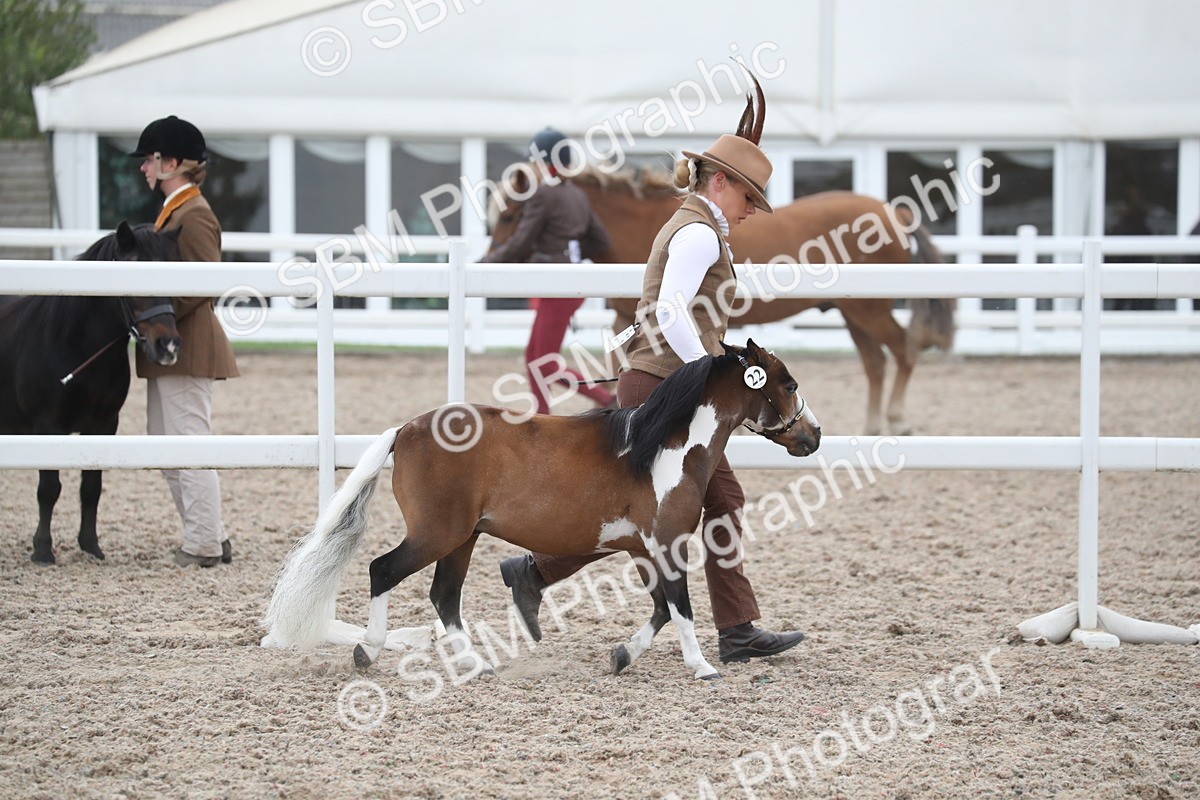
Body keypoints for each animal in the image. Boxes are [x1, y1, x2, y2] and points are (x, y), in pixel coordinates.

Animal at [0, 221, 183, 563]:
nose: (168, 345)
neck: (74, 343)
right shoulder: (47, 427)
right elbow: (49, 488)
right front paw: (42, 550)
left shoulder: (103, 424)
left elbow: (91, 487)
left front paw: (90, 545)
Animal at [263, 339, 821, 680]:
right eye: (790, 384)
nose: (813, 436)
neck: (663, 449)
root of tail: (406, 429)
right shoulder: (667, 544)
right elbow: (681, 607)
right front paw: (702, 666)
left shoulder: (642, 550)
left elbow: (662, 609)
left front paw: (622, 655)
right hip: (438, 534)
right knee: (384, 571)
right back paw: (367, 650)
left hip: (463, 539)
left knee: (444, 597)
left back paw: (477, 664)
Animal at [487, 166, 955, 436]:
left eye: (510, 215)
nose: (491, 261)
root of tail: (895, 213)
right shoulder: (624, 317)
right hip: (854, 314)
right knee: (875, 362)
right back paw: (874, 422)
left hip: (870, 309)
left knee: (902, 350)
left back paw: (896, 419)